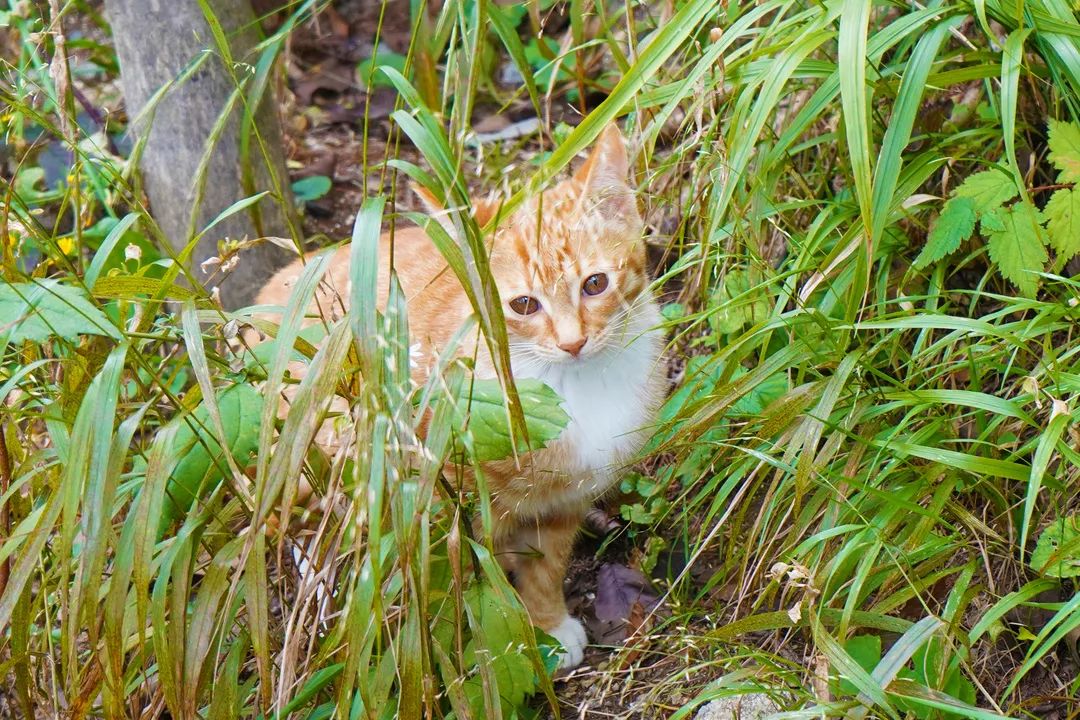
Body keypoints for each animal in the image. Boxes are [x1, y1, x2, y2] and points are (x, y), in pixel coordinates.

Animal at [257, 125, 660, 669]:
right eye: (523, 305)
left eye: (595, 284)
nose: (573, 343)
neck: (573, 384)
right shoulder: (440, 499)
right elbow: (454, 579)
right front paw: (459, 652)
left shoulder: (564, 502)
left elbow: (547, 564)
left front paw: (547, 622)